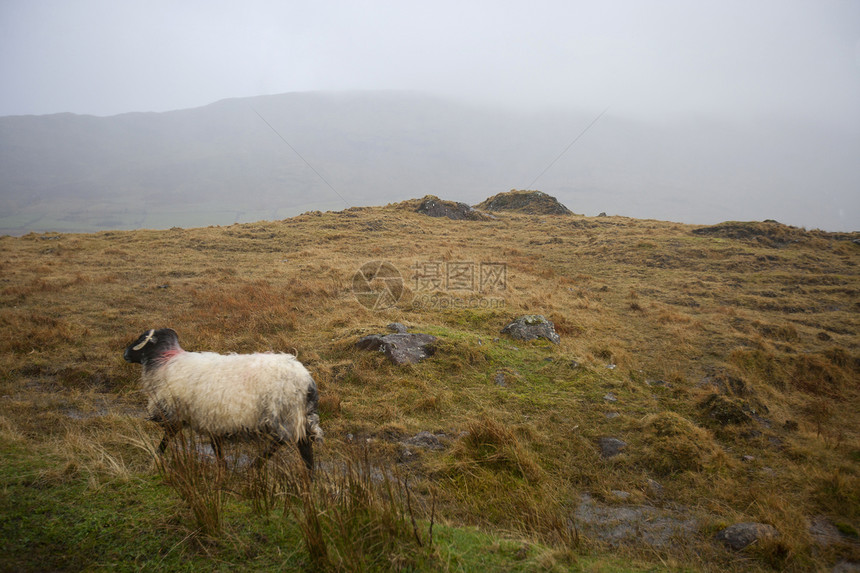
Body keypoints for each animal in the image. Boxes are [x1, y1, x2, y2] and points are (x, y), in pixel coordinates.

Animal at [122, 328, 320, 472]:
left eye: (141, 338)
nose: (125, 354)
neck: (165, 363)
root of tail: (306, 379)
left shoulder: (180, 413)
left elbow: (167, 438)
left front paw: (155, 458)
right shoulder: (210, 417)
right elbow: (215, 446)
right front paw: (223, 469)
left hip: (282, 414)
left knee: (285, 441)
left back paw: (256, 466)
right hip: (296, 416)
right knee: (303, 444)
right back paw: (308, 476)